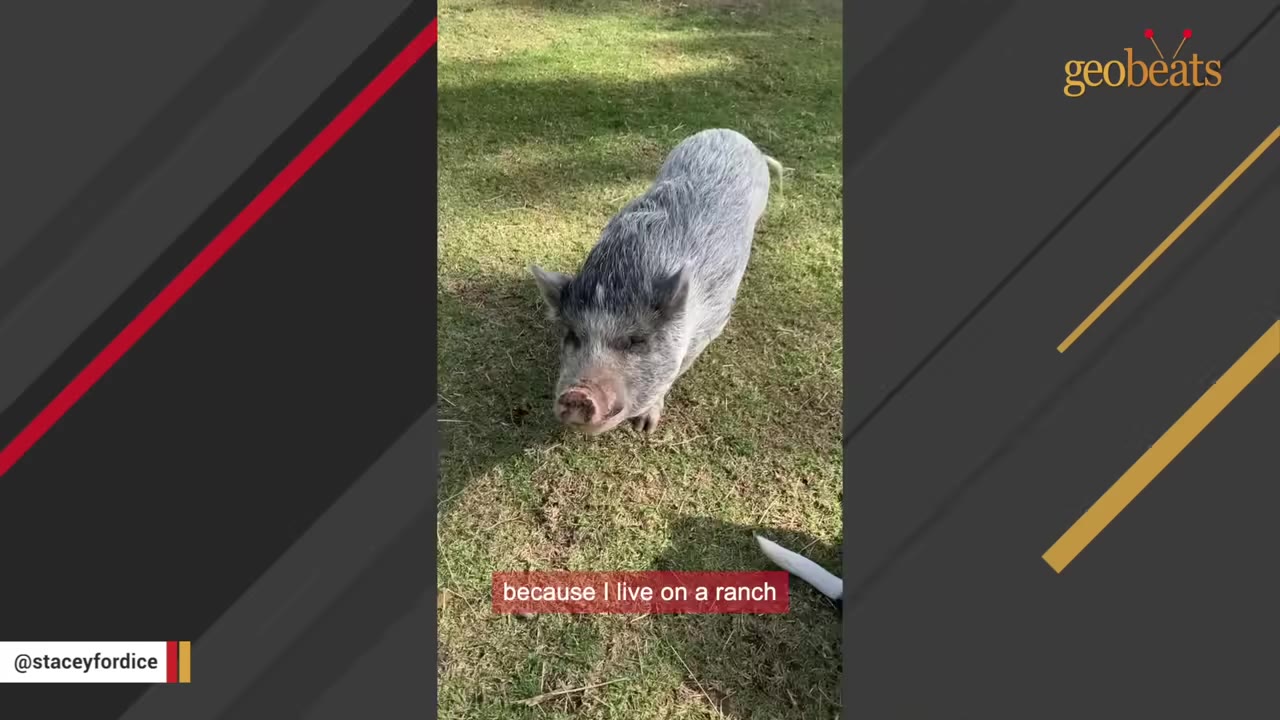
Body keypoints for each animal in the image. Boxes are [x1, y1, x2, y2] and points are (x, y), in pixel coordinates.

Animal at [529, 128, 783, 435]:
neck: (626, 270)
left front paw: (644, 428)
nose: (577, 394)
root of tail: (732, 134)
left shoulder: (711, 325)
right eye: (573, 335)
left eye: (635, 340)